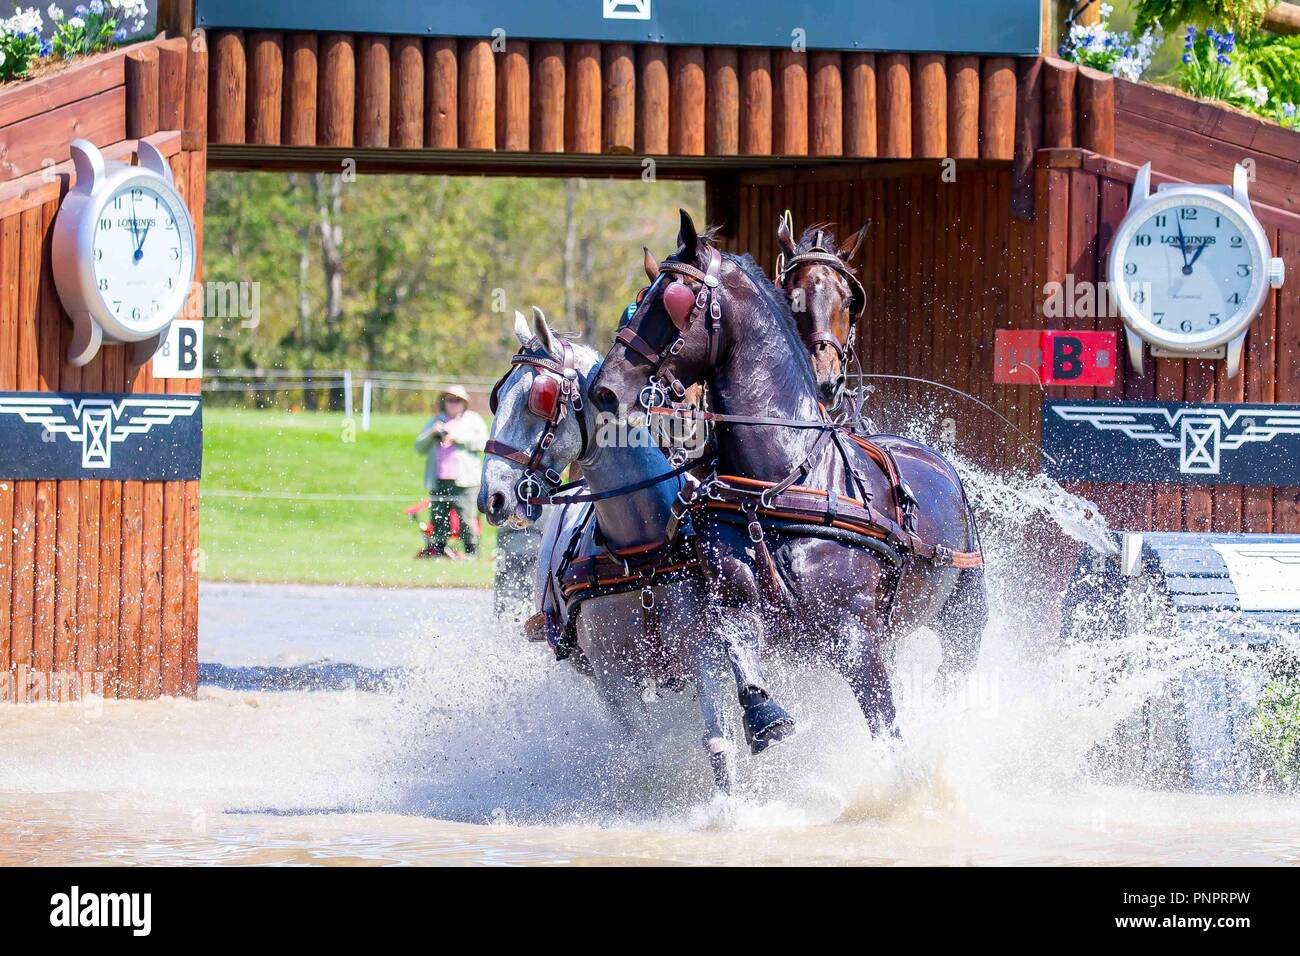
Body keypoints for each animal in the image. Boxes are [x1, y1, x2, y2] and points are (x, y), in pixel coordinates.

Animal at [590, 214, 982, 738]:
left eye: (672, 301)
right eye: (639, 301)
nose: (605, 389)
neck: (782, 483)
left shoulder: (856, 636)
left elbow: (886, 726)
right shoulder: (736, 607)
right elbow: (741, 660)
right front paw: (764, 714)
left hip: (964, 617)